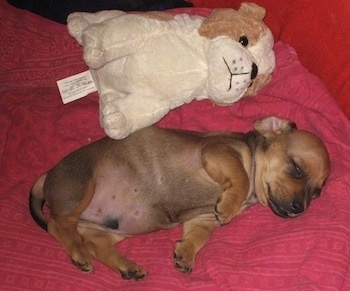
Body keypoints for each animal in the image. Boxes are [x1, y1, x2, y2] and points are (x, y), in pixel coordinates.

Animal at [29, 116, 328, 280]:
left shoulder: (203, 219)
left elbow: (198, 237)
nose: (299, 208)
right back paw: (79, 254)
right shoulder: (220, 153)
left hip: (106, 230)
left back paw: (128, 267)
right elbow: (240, 178)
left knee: (95, 244)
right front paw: (229, 206)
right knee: (58, 226)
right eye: (296, 168)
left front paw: (185, 254)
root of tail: (47, 175)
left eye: (317, 192)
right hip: (81, 188)